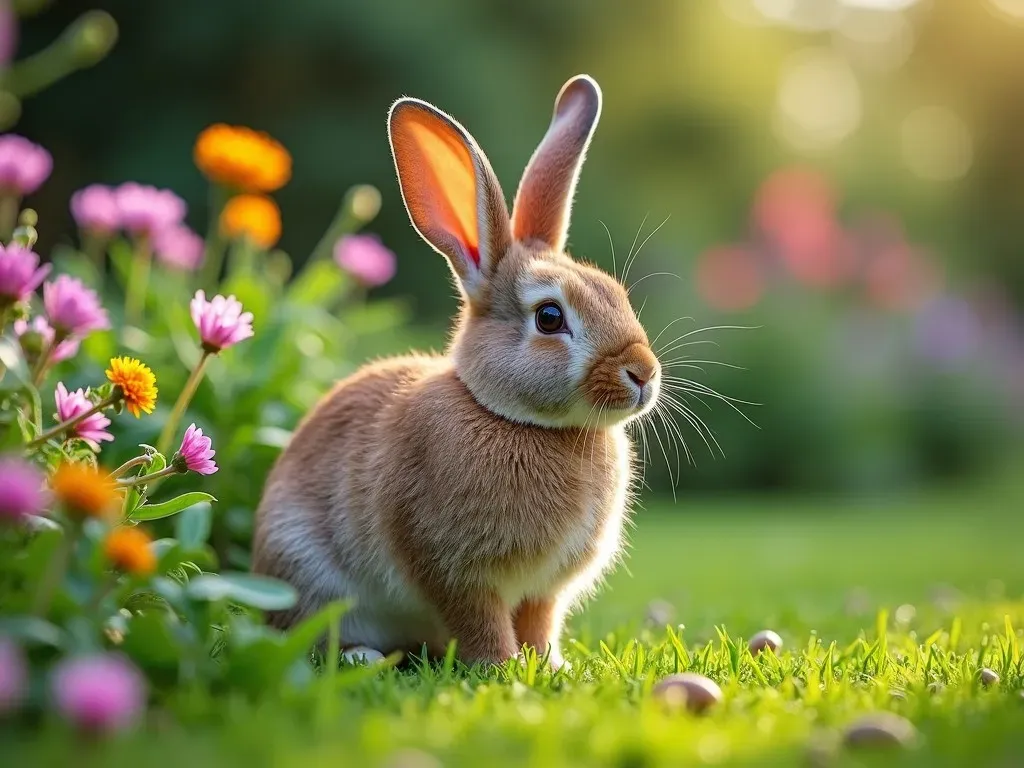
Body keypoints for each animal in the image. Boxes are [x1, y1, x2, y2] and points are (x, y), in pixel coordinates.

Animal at [251, 75, 659, 671]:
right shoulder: (453, 569)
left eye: (617, 294)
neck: (526, 424)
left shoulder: (543, 590)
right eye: (550, 317)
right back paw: (360, 657)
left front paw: (547, 665)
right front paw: (501, 668)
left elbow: (539, 621)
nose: (643, 374)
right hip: (306, 568)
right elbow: (478, 620)